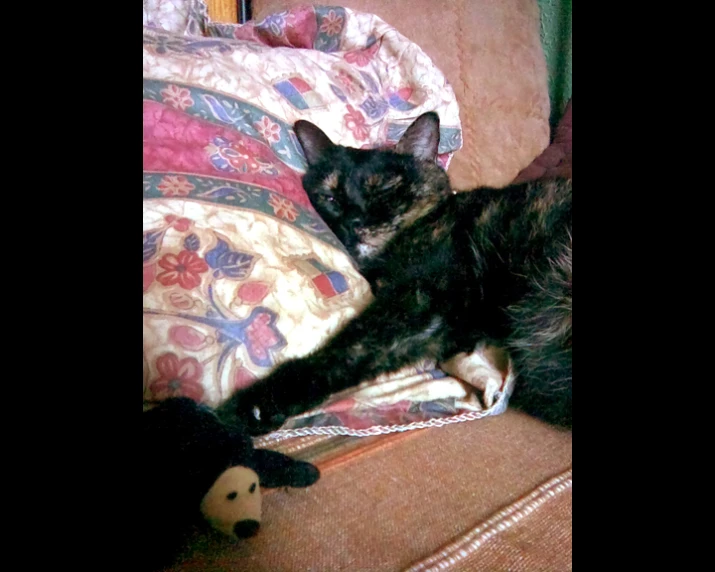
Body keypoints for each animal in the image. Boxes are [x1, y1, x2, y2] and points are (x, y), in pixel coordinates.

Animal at [218, 111, 572, 434]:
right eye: (330, 197)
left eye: (385, 189)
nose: (355, 222)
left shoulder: (418, 303)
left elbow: (349, 350)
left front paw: (254, 406)